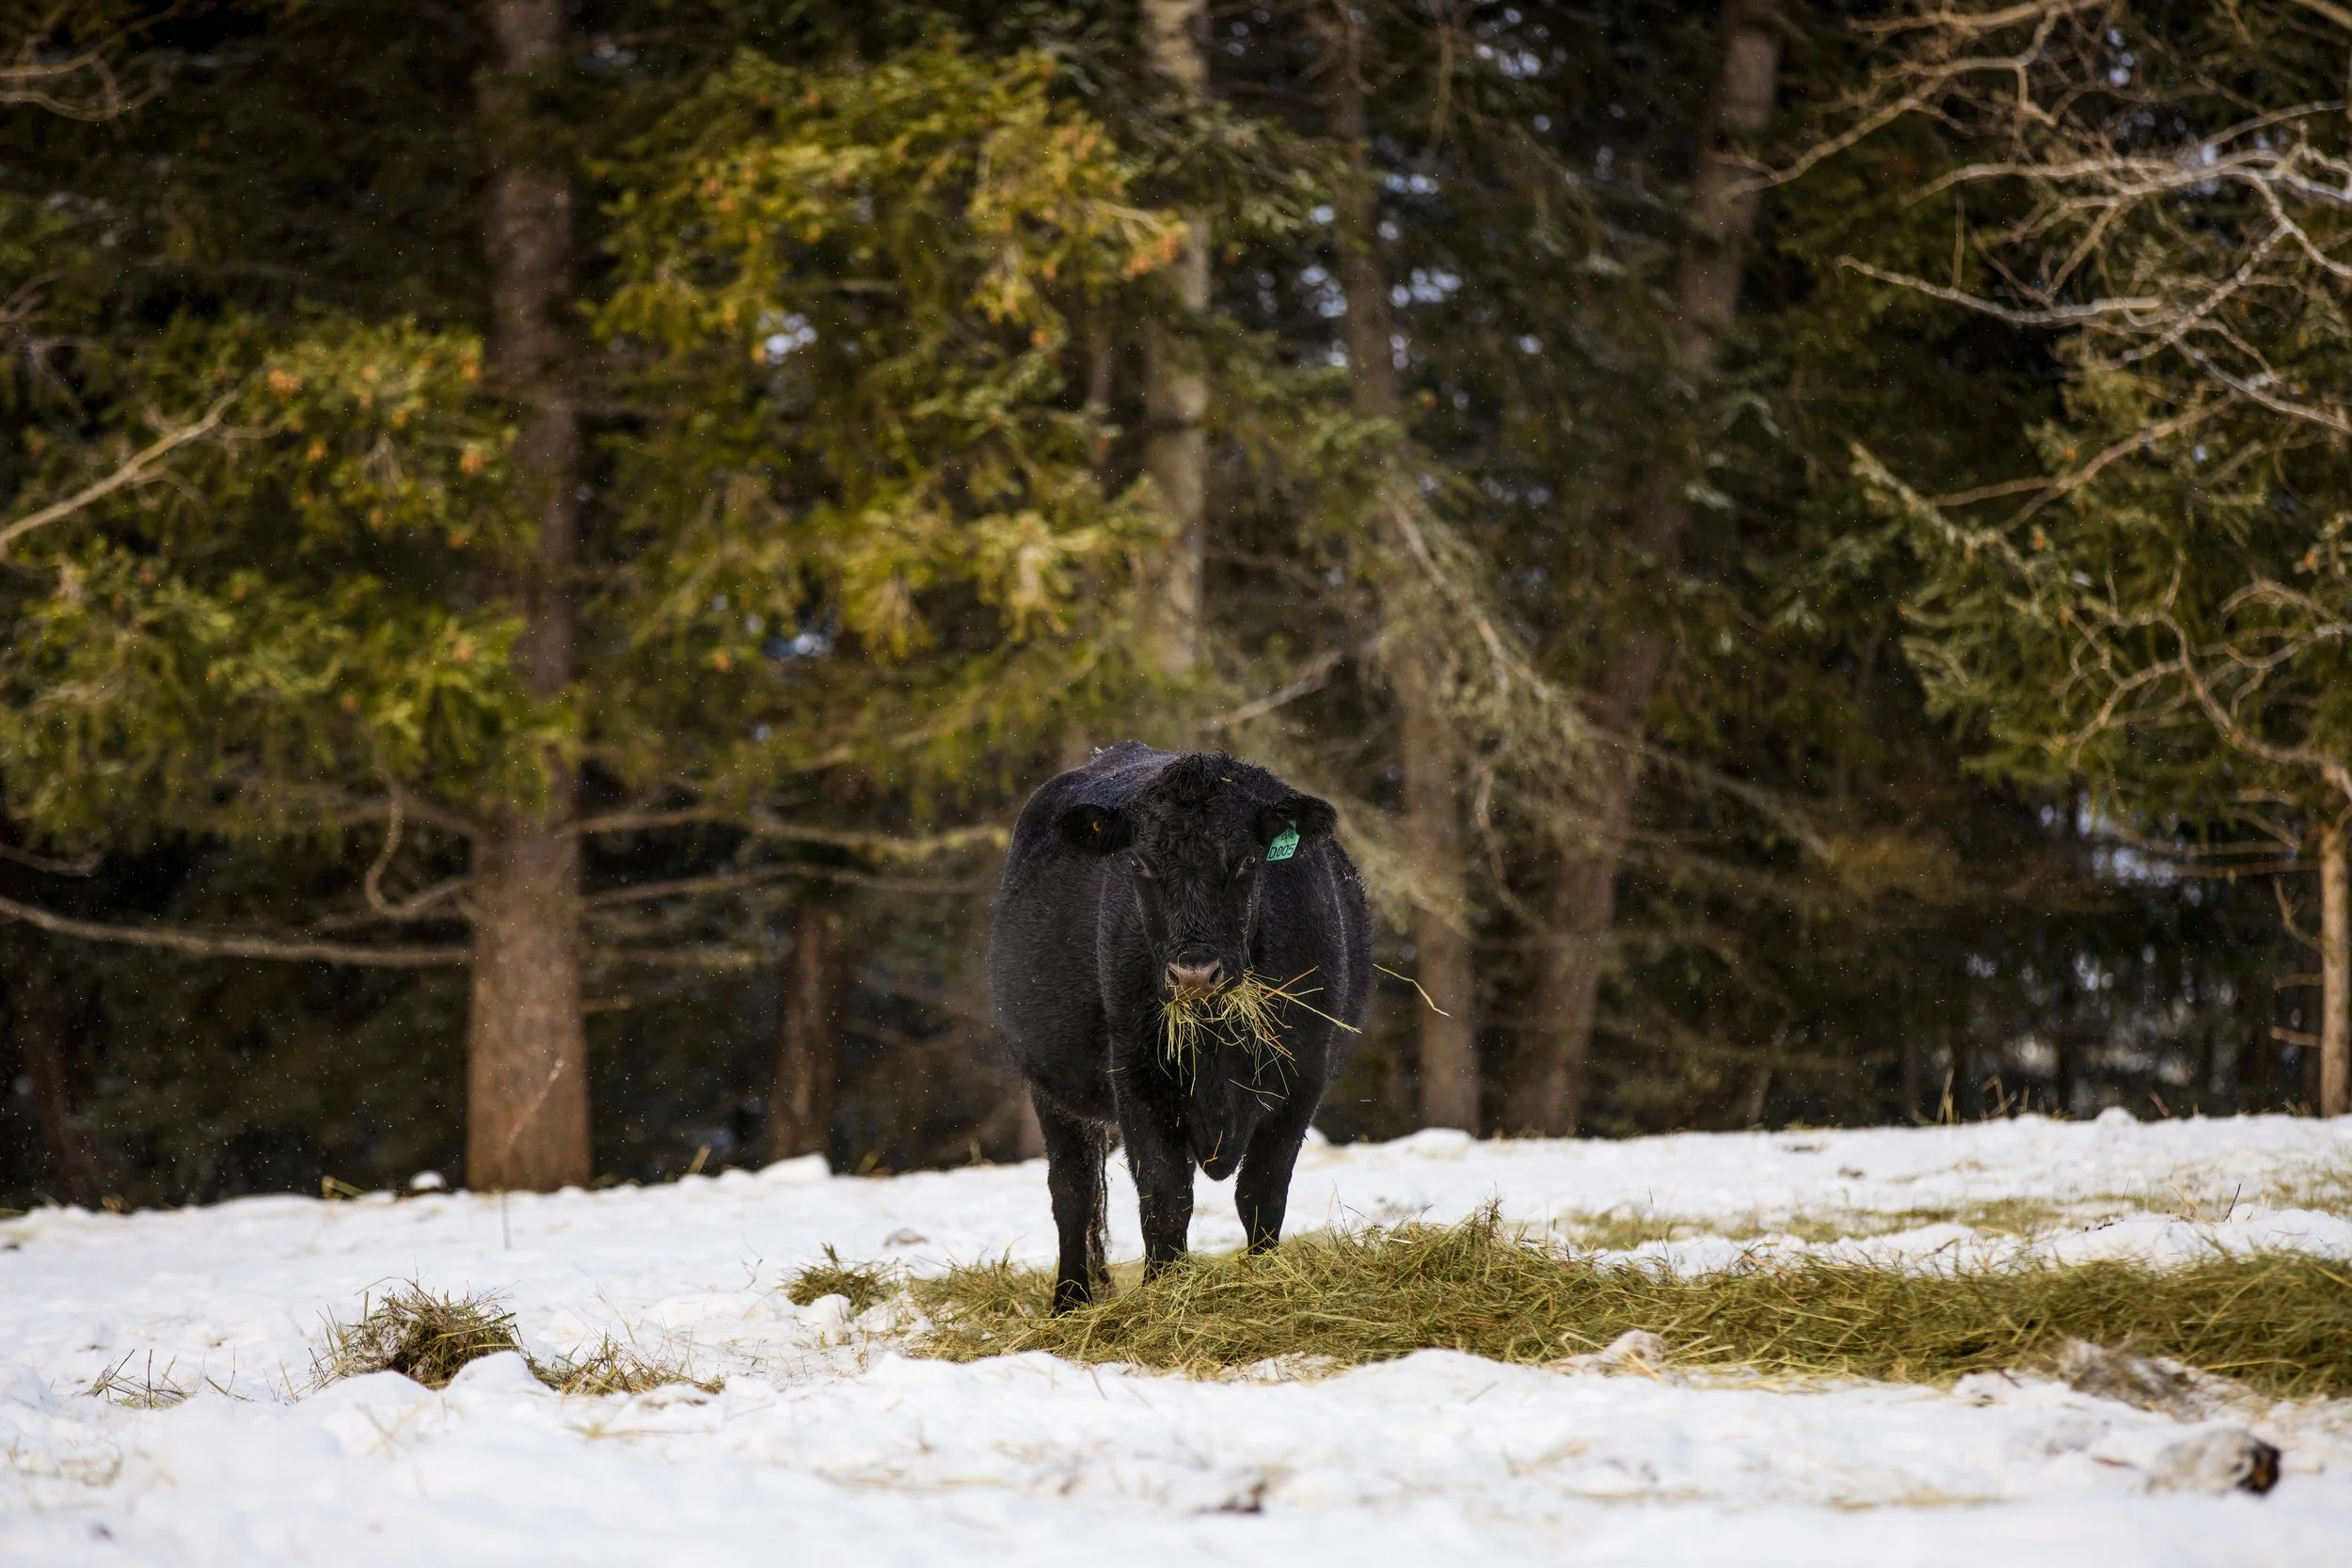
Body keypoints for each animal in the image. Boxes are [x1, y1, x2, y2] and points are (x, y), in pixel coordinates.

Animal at [988, 741, 1373, 1312]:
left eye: (1249, 861)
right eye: (1139, 863)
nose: (1194, 972)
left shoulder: (1302, 1078)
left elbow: (1261, 1193)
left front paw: (1265, 1286)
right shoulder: (1137, 1080)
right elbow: (1165, 1199)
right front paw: (1165, 1296)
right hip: (1051, 1087)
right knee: (1073, 1190)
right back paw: (1070, 1303)